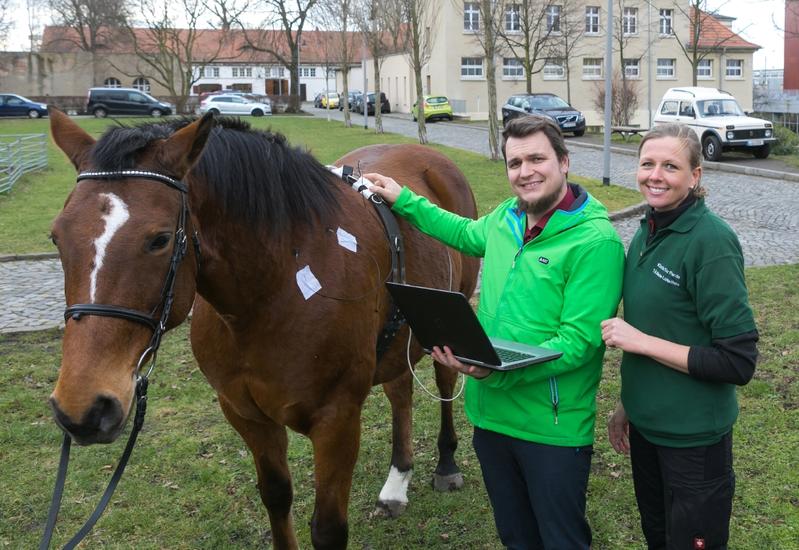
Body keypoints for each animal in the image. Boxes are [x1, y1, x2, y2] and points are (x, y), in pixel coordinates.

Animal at [48, 110, 482, 548]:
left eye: (160, 239)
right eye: (56, 237)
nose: (82, 407)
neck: (275, 288)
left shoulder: (338, 420)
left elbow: (328, 528)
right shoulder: (246, 414)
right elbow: (276, 495)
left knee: (444, 384)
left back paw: (446, 463)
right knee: (400, 392)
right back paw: (397, 481)